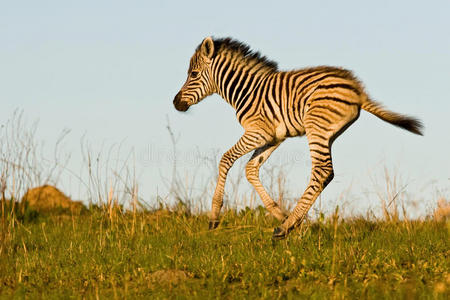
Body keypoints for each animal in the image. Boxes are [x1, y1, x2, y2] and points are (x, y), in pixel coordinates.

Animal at [171, 37, 422, 239]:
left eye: (193, 74)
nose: (175, 103)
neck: (246, 91)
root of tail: (357, 89)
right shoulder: (273, 137)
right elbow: (251, 169)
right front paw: (278, 212)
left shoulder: (258, 132)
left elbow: (225, 159)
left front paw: (214, 217)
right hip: (327, 133)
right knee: (324, 173)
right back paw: (290, 222)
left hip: (315, 127)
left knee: (323, 171)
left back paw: (286, 227)